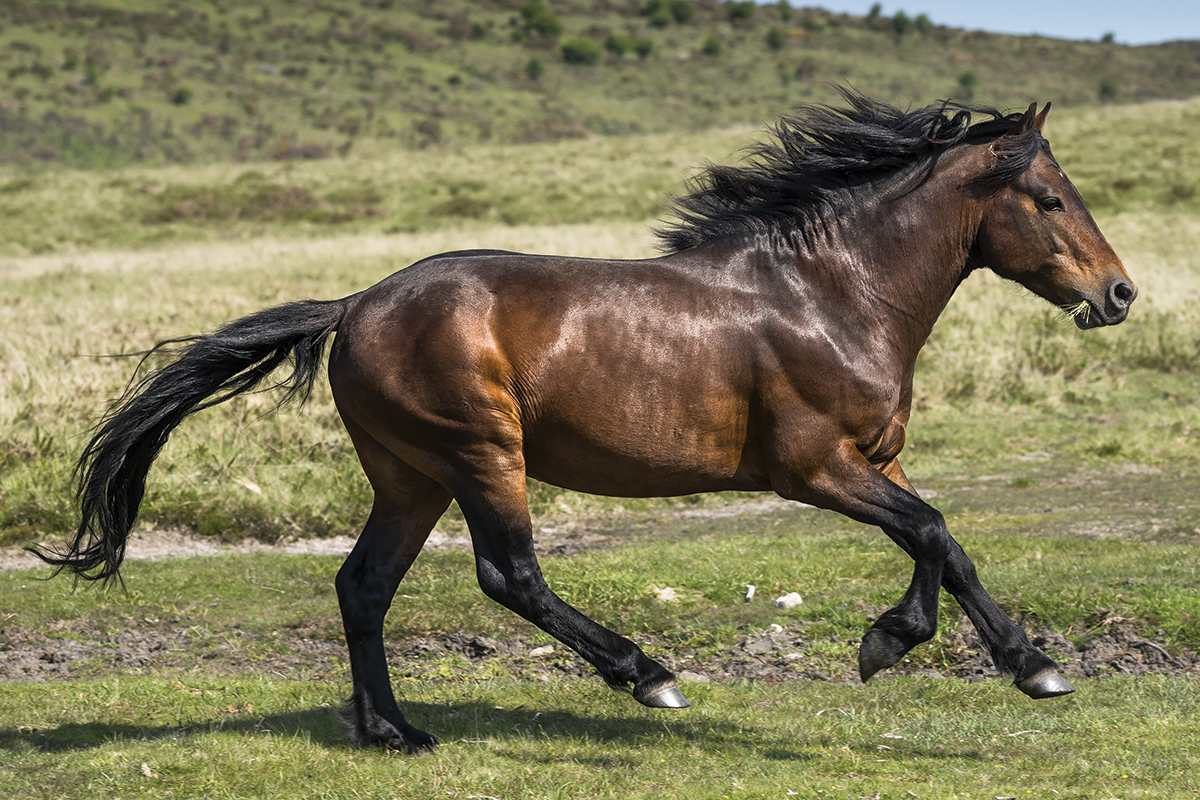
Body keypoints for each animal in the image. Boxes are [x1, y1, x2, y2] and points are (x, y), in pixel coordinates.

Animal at [30, 90, 1132, 753]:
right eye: (1048, 196)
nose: (1118, 293)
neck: (828, 293)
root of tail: (354, 306)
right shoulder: (816, 465)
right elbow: (936, 530)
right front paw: (919, 647)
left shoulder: (870, 463)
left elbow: (947, 543)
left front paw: (1010, 661)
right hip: (481, 454)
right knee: (508, 575)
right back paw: (646, 674)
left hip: (411, 477)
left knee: (363, 585)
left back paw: (393, 732)